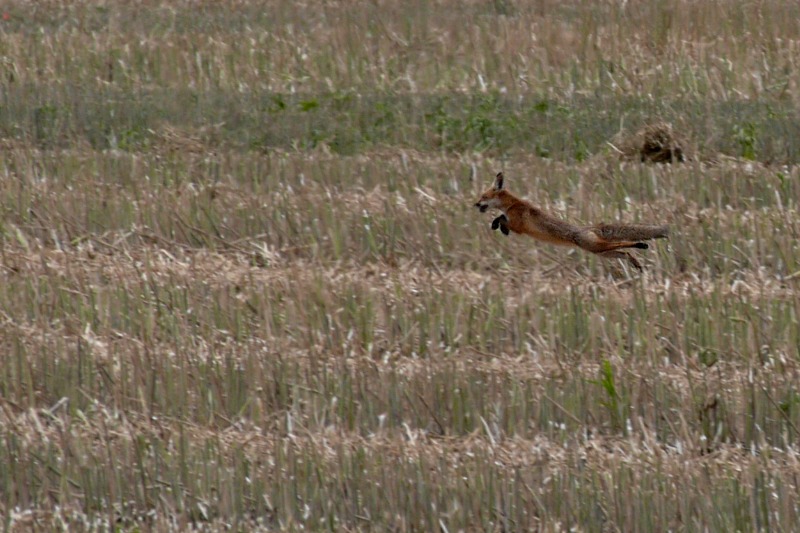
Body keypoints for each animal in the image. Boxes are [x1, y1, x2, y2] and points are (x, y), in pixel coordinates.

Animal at [476, 171, 668, 270]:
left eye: (483, 196)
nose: (475, 204)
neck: (512, 204)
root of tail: (591, 228)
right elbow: (501, 217)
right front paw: (498, 226)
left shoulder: (518, 225)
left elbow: (502, 219)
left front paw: (498, 225)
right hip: (602, 253)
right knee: (624, 251)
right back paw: (637, 262)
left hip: (595, 246)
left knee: (624, 244)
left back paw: (641, 245)